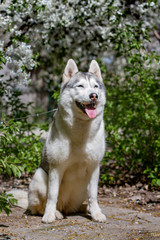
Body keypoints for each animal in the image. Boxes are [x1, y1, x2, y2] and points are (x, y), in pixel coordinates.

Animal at [11, 59, 106, 223]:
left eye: (95, 86)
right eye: (80, 86)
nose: (94, 96)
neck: (81, 129)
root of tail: (65, 207)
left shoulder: (94, 167)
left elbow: (93, 195)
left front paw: (96, 213)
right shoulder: (56, 168)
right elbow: (52, 195)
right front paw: (49, 215)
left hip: (82, 188)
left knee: (81, 203)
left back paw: (85, 208)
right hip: (39, 176)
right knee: (39, 207)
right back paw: (54, 212)